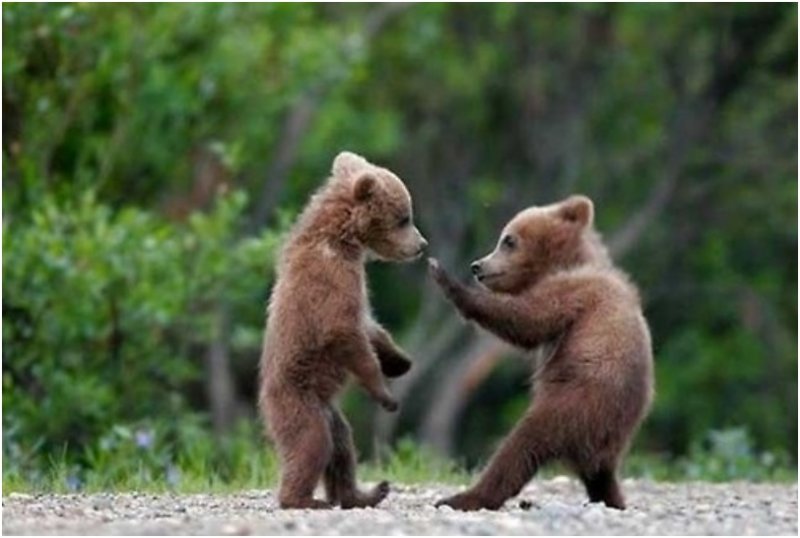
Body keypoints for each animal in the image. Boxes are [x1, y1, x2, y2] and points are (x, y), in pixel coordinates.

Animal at [259, 151, 427, 509]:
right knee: (312, 444)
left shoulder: (355, 284)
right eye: (404, 218)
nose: (422, 244)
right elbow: (345, 333)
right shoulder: (331, 281)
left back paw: (364, 493)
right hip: (298, 401)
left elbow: (369, 325)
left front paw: (400, 361)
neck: (343, 240)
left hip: (329, 411)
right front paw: (386, 395)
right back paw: (304, 499)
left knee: (342, 447)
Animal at [428, 195, 654, 511]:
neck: (565, 262)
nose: (477, 266)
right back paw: (612, 498)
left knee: (521, 445)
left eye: (508, 240)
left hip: (575, 403)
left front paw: (444, 277)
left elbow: (526, 320)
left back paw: (464, 497)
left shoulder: (574, 292)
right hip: (605, 433)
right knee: (599, 475)